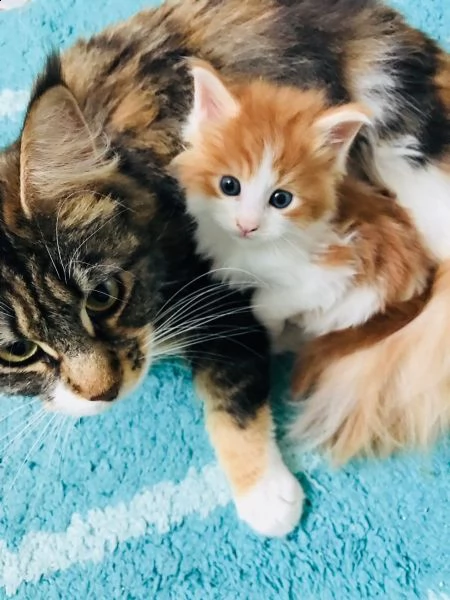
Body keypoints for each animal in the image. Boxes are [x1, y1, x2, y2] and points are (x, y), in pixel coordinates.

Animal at [171, 61, 432, 342]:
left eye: (281, 199)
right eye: (229, 185)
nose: (247, 226)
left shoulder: (336, 271)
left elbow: (265, 303)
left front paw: (274, 332)